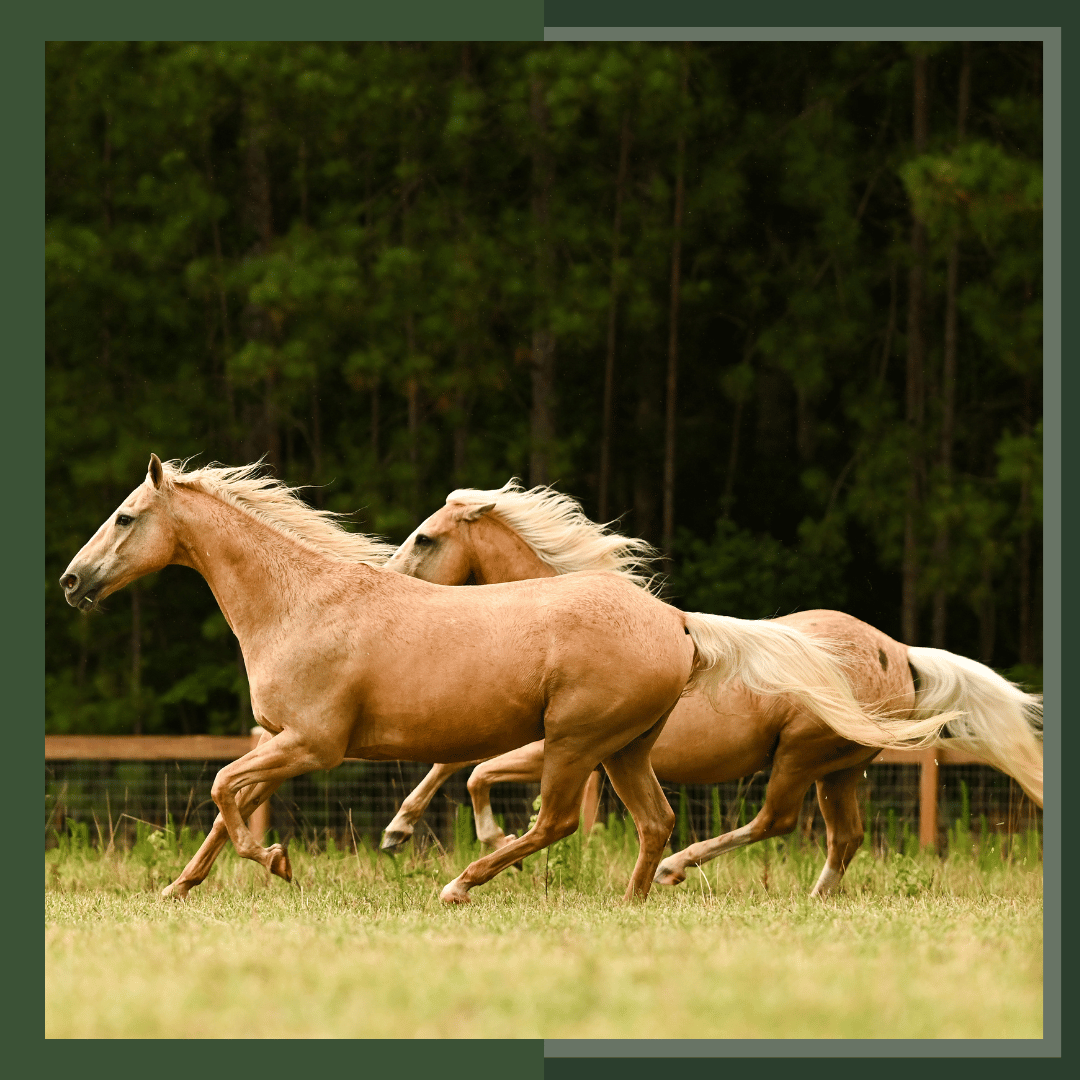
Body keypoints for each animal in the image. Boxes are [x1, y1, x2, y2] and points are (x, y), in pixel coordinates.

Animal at [63, 455, 950, 902]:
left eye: (125, 517)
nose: (72, 583)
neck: (301, 600)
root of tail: (676, 622)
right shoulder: (280, 740)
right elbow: (225, 802)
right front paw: (182, 886)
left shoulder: (313, 746)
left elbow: (223, 791)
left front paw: (277, 861)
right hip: (632, 751)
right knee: (661, 821)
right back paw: (634, 901)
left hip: (581, 744)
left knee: (564, 822)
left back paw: (465, 883)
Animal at [382, 481, 1045, 894]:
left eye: (425, 538)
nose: (387, 578)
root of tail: (900, 653)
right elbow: (455, 764)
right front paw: (399, 830)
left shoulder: (558, 746)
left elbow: (474, 772)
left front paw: (485, 841)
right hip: (840, 768)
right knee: (844, 836)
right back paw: (815, 897)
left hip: (800, 757)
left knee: (776, 821)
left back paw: (675, 869)